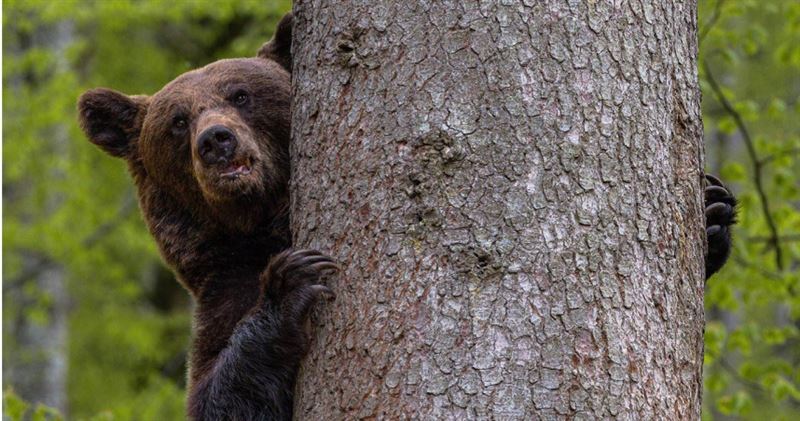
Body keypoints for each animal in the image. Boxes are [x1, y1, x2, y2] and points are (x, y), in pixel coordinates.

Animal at [77, 12, 737, 421]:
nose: (216, 141)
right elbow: (221, 394)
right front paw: (292, 283)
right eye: (176, 121)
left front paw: (712, 212)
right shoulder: (222, 292)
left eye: (240, 93)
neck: (262, 223)